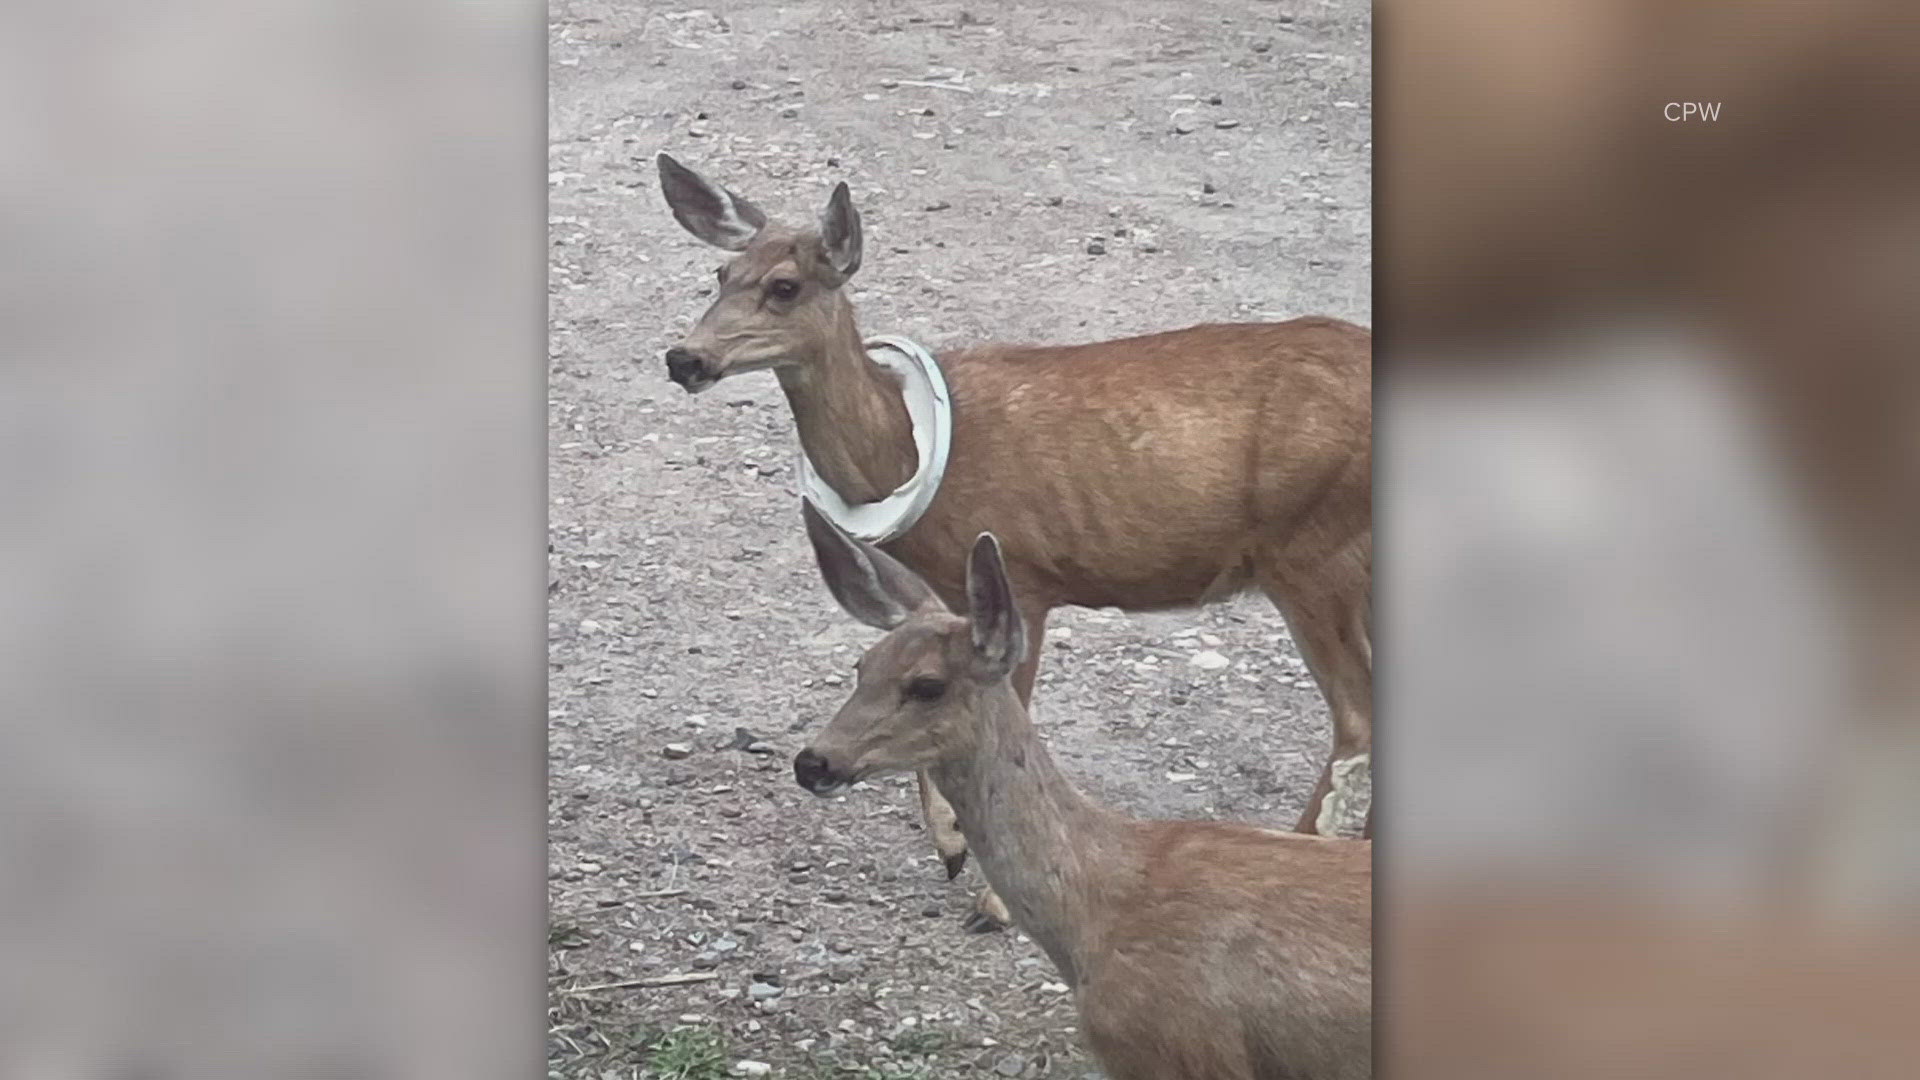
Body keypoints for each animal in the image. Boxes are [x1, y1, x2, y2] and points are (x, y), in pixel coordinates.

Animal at [652, 147, 1374, 930]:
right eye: (720, 273)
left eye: (784, 286)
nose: (684, 357)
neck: (903, 449)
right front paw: (950, 847)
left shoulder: (1021, 572)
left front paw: (987, 891)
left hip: (1311, 549)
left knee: (1356, 714)